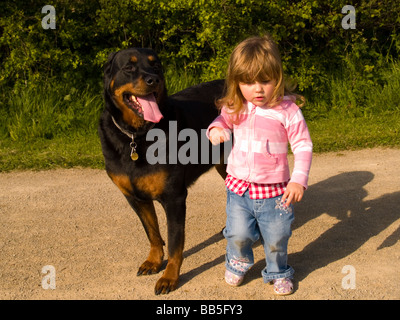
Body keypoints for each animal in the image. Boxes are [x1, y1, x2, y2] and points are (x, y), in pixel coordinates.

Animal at [98, 48, 227, 296]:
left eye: (155, 65)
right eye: (129, 67)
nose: (153, 80)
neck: (135, 136)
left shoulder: (174, 197)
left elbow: (175, 242)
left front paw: (170, 277)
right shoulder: (135, 198)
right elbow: (153, 233)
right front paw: (154, 261)